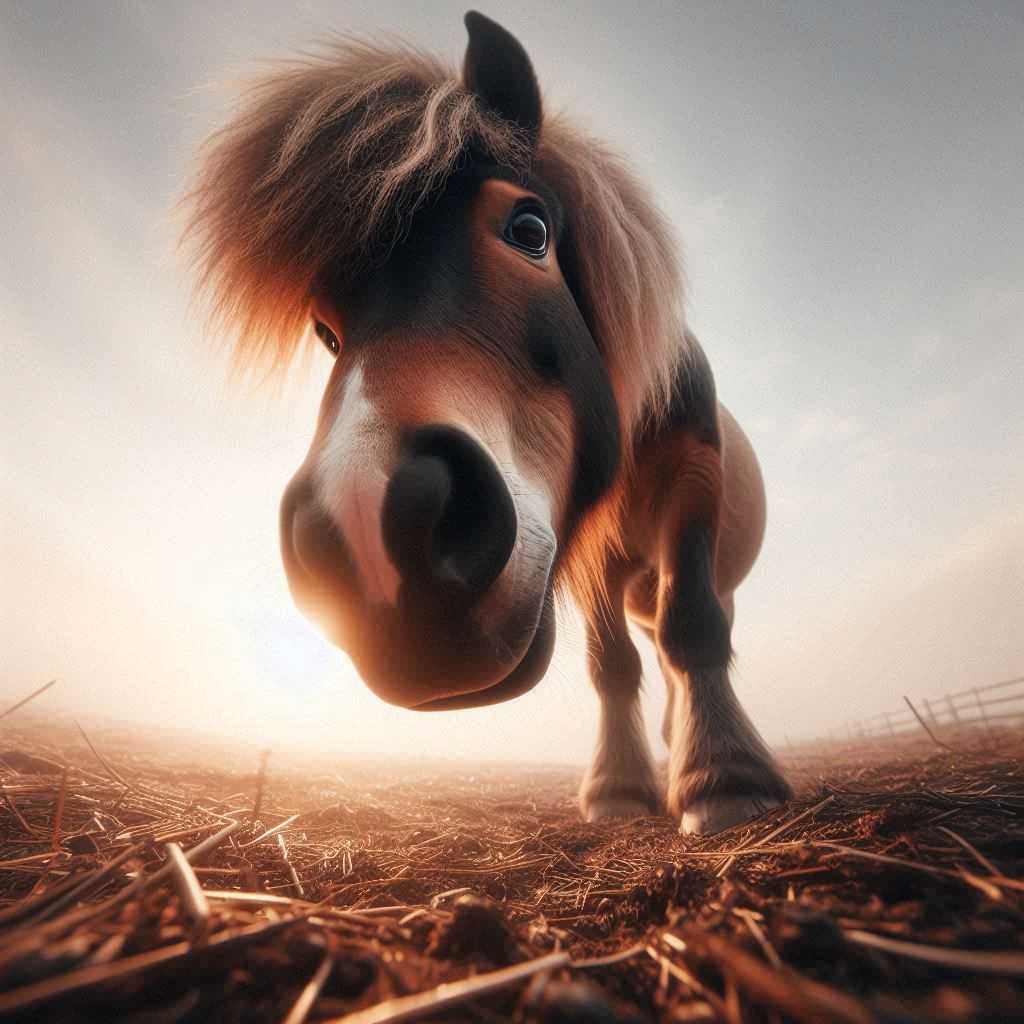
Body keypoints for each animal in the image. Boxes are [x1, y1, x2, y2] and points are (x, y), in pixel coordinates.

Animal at [182, 11, 792, 833]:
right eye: (327, 334)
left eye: (529, 229)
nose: (368, 530)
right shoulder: (590, 555)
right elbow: (614, 667)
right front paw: (621, 788)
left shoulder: (691, 476)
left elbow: (692, 624)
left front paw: (724, 777)